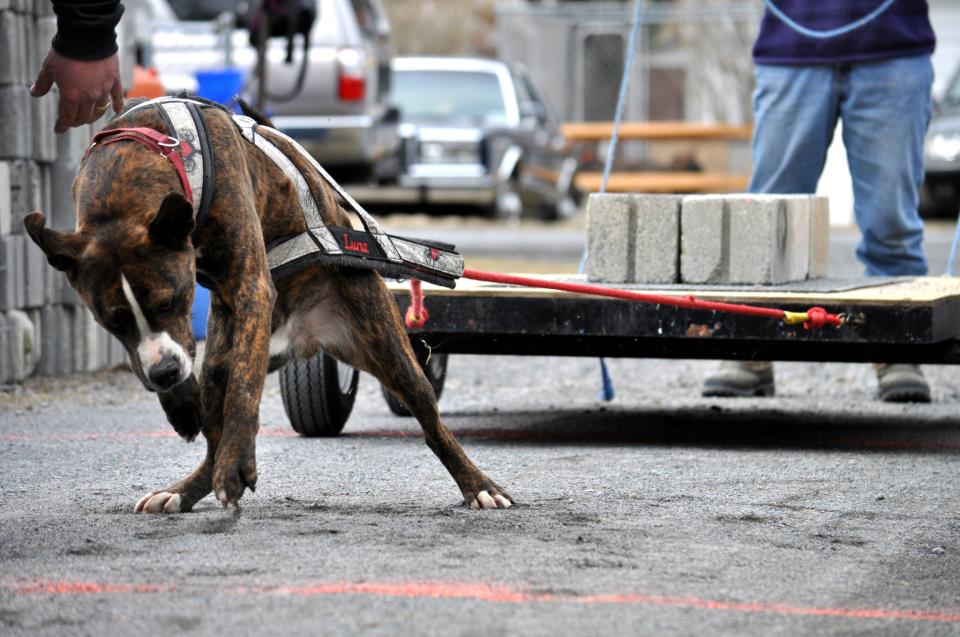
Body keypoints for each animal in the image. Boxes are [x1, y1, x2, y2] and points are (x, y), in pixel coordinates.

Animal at [24, 102, 516, 516]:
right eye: (112, 320)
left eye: (171, 300)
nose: (164, 374)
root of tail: (304, 335)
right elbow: (194, 382)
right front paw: (181, 407)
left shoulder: (250, 288)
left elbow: (245, 391)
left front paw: (237, 464)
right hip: (219, 355)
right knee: (214, 427)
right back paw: (184, 489)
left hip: (385, 346)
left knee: (430, 420)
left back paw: (479, 486)